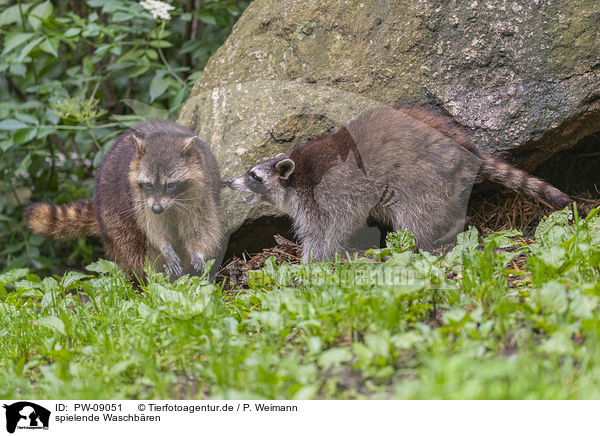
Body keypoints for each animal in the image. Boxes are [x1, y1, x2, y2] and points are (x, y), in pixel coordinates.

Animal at [22, 121, 225, 282]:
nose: (157, 208)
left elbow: (203, 226)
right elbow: (154, 228)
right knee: (134, 250)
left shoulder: (202, 193)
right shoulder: (140, 199)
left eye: (171, 185)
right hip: (113, 213)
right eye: (148, 185)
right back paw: (143, 281)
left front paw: (198, 251)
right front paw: (164, 246)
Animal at [227, 106, 568, 262]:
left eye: (253, 176)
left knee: (413, 213)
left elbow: (326, 231)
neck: (294, 179)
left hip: (420, 175)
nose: (229, 182)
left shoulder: (324, 197)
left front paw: (312, 262)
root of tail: (463, 146)